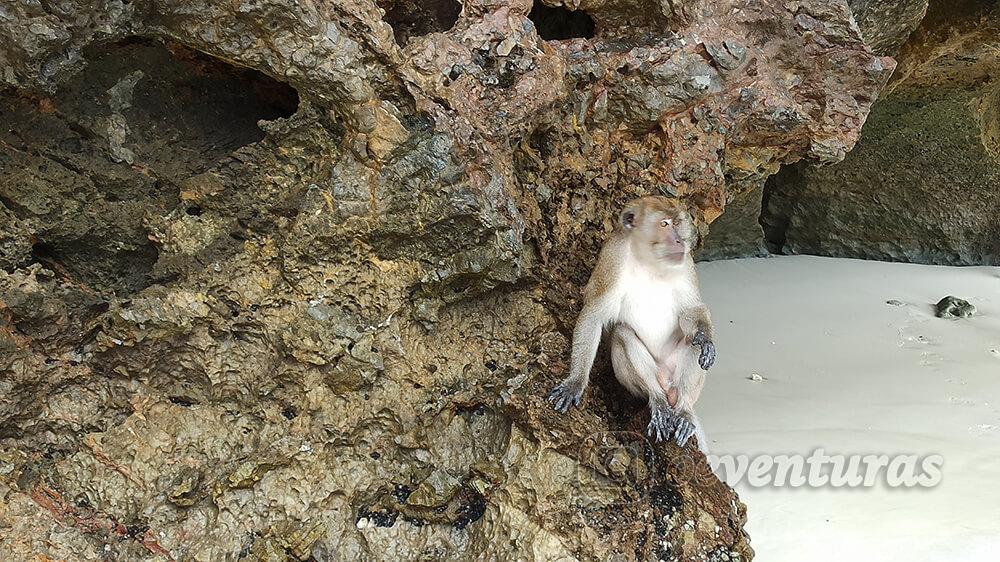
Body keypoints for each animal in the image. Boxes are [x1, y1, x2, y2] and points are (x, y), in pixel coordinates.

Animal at [552, 195, 716, 448]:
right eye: (664, 224)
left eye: (677, 223)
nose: (679, 240)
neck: (649, 261)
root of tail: (667, 385)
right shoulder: (612, 259)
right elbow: (594, 315)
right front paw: (575, 381)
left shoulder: (686, 264)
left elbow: (692, 311)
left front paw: (705, 338)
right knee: (623, 334)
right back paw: (658, 401)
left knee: (691, 343)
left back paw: (683, 410)